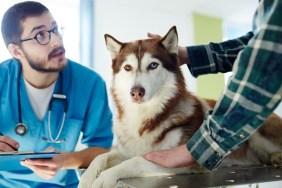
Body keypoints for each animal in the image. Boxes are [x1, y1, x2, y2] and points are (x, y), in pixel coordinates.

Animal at [79, 25, 282, 187]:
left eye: (153, 65)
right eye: (127, 68)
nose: (136, 92)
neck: (145, 117)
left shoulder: (178, 161)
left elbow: (134, 162)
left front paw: (105, 177)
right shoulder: (126, 151)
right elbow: (101, 156)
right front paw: (87, 177)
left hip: (255, 128)